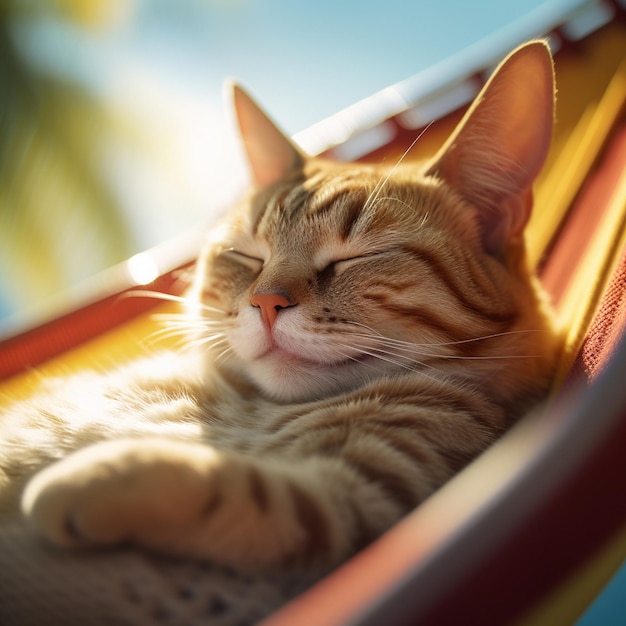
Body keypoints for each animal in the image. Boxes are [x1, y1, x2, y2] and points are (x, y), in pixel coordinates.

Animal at [0, 41, 556, 572]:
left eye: (354, 257)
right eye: (248, 255)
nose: (265, 301)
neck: (259, 407)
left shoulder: (356, 498)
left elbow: (232, 486)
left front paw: (93, 478)